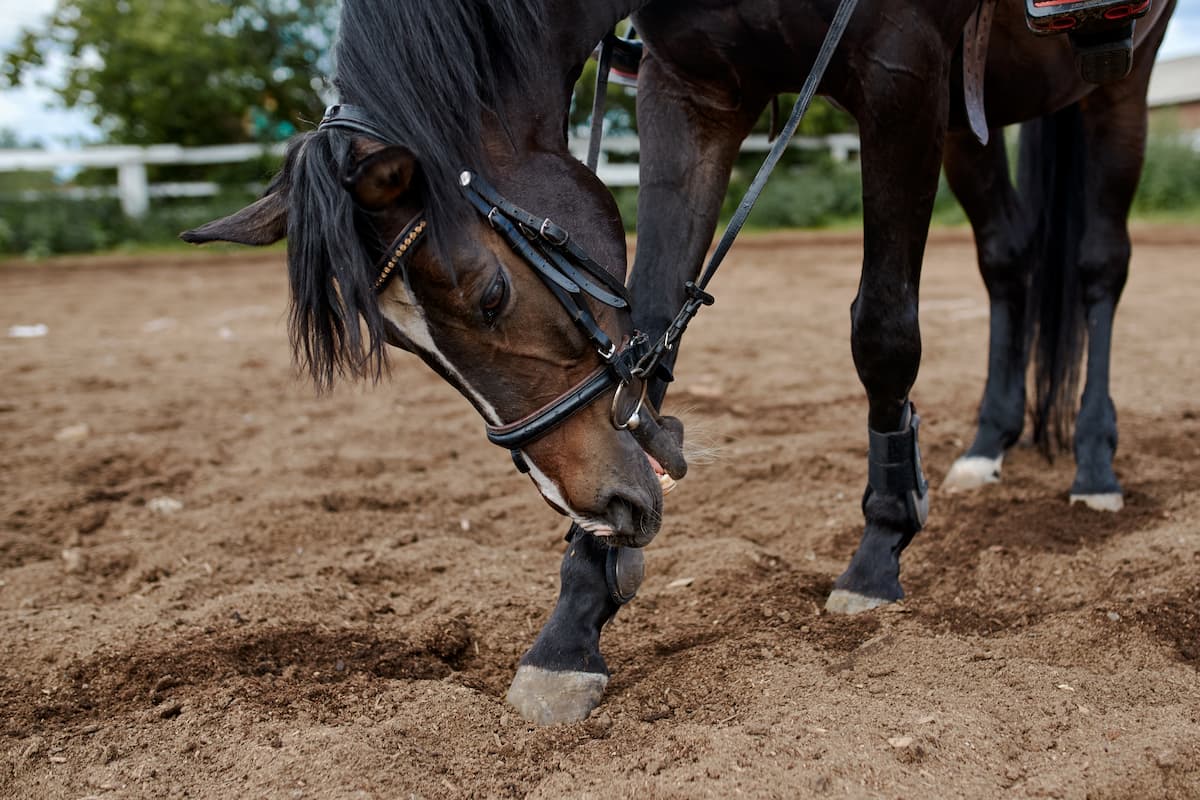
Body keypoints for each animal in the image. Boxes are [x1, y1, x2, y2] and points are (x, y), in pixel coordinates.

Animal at [182, 0, 1176, 724]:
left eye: (489, 295)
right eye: (398, 342)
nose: (599, 505)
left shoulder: (904, 69)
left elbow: (884, 329)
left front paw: (879, 548)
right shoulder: (693, 83)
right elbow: (648, 323)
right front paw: (576, 622)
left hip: (1111, 82)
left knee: (1099, 262)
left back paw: (1094, 464)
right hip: (972, 118)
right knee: (1010, 256)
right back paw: (988, 445)